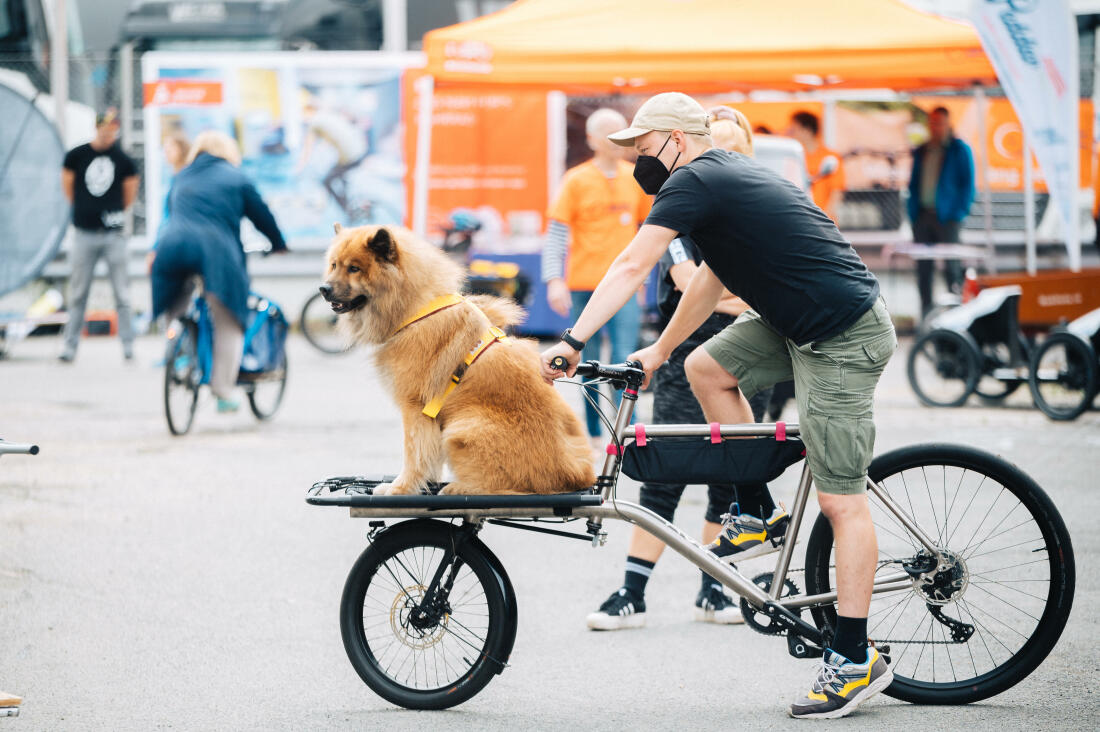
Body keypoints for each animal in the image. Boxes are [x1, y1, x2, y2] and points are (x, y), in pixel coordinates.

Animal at [321, 224, 594, 497]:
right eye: (334, 265)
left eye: (354, 268)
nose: (323, 289)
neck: (415, 311)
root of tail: (579, 476)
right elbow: (429, 456)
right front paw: (425, 481)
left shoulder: (414, 407)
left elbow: (414, 453)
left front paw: (401, 487)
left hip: (463, 426)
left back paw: (459, 487)